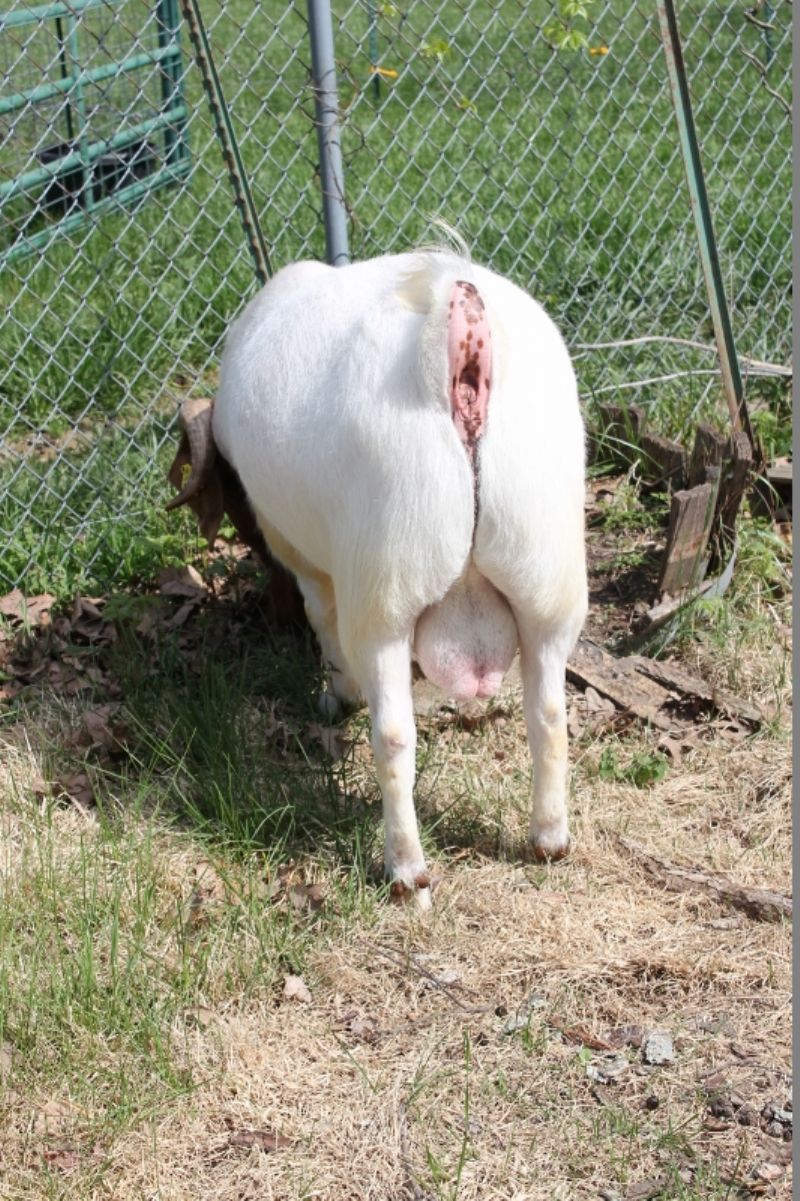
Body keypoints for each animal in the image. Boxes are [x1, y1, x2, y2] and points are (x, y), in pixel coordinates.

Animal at [168, 246, 583, 907]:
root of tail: (460, 327)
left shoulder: (302, 555)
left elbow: (320, 617)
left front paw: (336, 696)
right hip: (546, 578)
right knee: (548, 716)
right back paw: (549, 839)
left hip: (386, 590)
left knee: (391, 737)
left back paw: (406, 871)